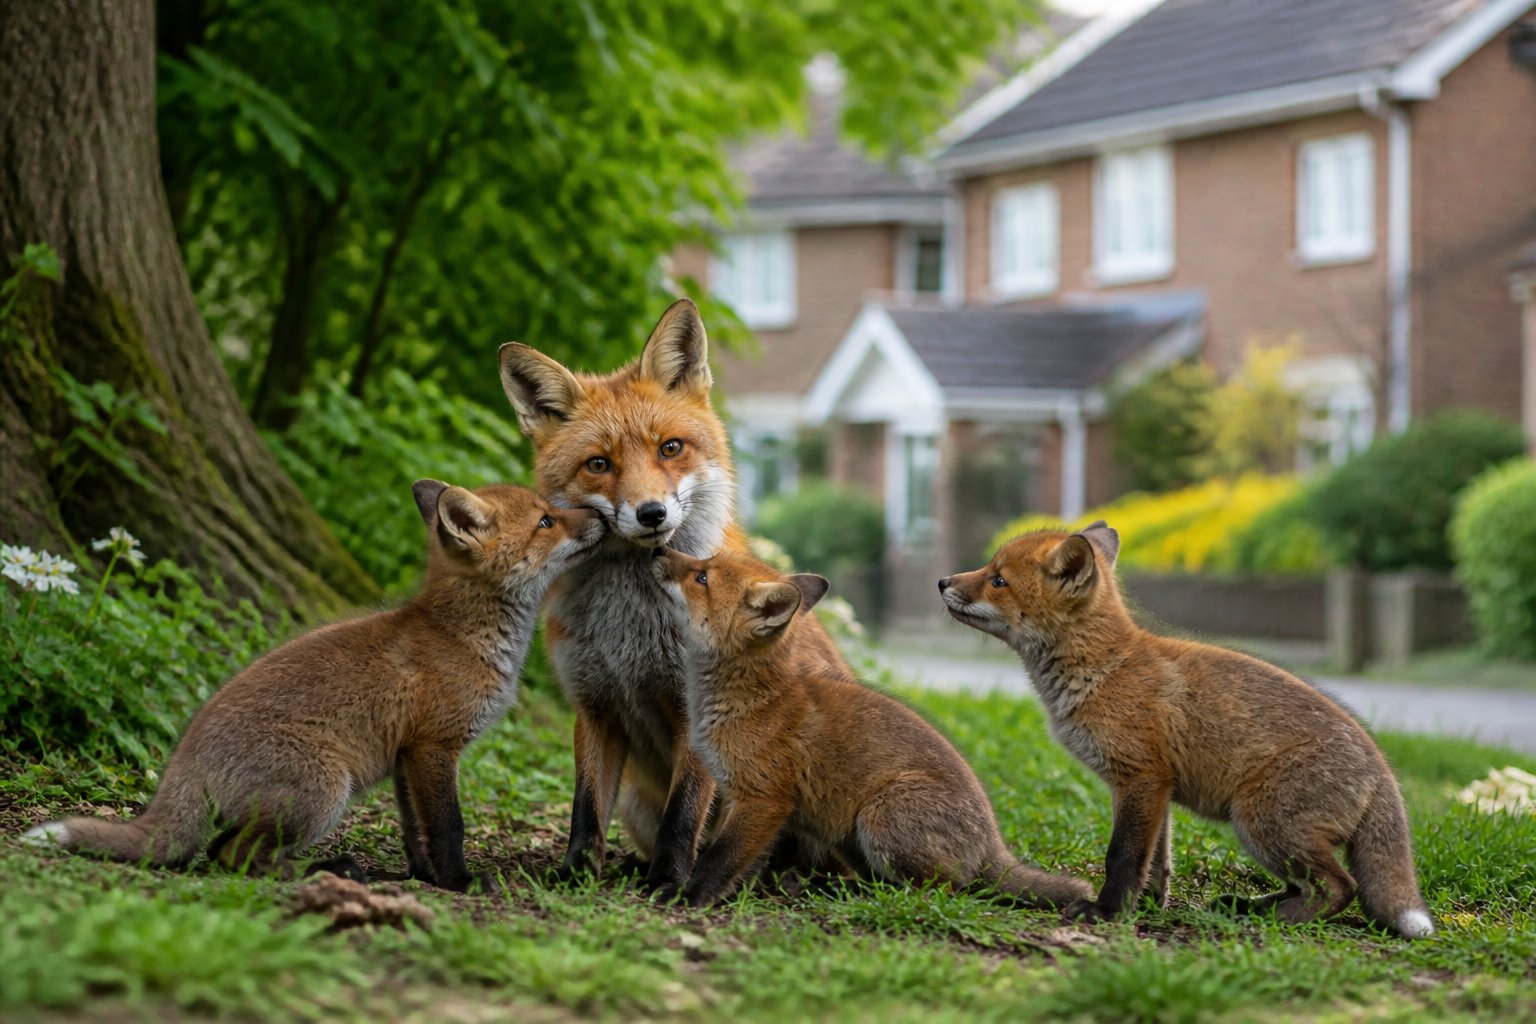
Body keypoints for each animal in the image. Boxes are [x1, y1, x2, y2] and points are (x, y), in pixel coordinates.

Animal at [22, 481, 606, 892]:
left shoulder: (405, 758)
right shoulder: (433, 746)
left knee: (220, 850)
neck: (464, 636)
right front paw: (459, 883)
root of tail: (184, 758)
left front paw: (425, 878)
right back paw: (324, 872)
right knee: (230, 858)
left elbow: (415, 832)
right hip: (326, 790)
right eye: (547, 520)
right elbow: (449, 828)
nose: (601, 514)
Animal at [498, 299, 849, 890]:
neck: (631, 625)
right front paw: (576, 874)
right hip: (635, 802)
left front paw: (668, 880)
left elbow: (684, 810)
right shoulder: (595, 705)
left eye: (670, 448)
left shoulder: (697, 711)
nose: (651, 513)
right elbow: (585, 808)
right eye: (599, 463)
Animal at [648, 547, 1095, 908]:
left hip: (880, 817)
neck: (744, 698)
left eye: (702, 577)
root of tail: (992, 843)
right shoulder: (749, 802)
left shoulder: (763, 799)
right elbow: (741, 862)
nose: (658, 549)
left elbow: (719, 859)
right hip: (849, 838)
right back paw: (835, 890)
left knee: (943, 891)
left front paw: (688, 897)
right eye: (703, 563)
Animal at [939, 521, 1435, 939]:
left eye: (998, 580)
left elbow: (1121, 857)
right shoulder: (1158, 791)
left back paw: (1275, 921)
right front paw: (1145, 908)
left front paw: (1107, 912)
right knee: (1308, 886)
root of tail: (1381, 766)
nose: (943, 582)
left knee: (1339, 887)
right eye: (989, 570)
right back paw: (1247, 907)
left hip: (1260, 823)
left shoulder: (1141, 778)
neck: (1102, 669)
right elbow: (1156, 863)